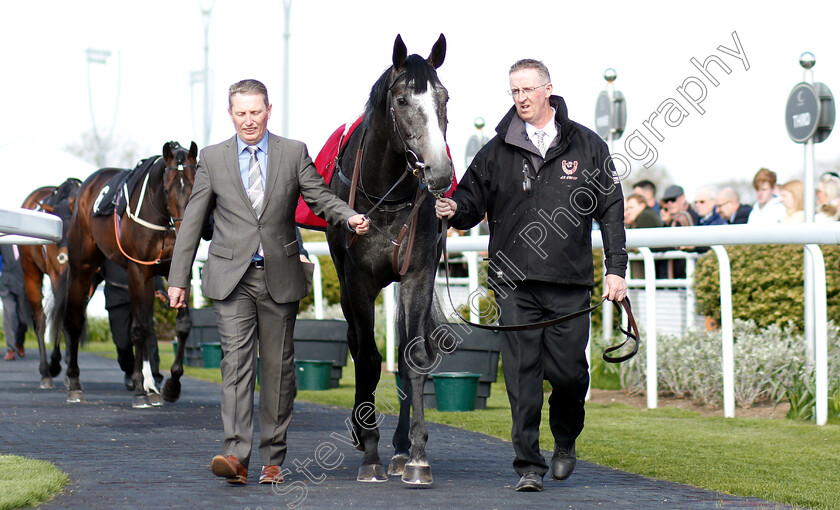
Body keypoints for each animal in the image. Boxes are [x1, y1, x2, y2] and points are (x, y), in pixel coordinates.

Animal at [18, 177, 82, 388]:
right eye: (59, 230)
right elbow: (60, 315)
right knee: (40, 318)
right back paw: (46, 370)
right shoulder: (56, 276)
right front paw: (56, 363)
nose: (64, 257)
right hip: (30, 271)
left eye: (73, 228)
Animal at [53, 141, 198, 408]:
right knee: (74, 320)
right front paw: (140, 390)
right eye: (167, 188)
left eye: (196, 183)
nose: (185, 229)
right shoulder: (137, 270)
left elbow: (182, 326)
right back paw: (74, 383)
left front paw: (171, 386)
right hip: (82, 267)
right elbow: (138, 329)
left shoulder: (175, 270)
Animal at [324, 33, 452, 484]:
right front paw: (370, 453)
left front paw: (415, 455)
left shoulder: (417, 273)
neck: (385, 198)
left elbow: (413, 357)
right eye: (401, 100)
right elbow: (367, 358)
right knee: (356, 342)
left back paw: (399, 447)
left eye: (444, 97)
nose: (440, 172)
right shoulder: (357, 279)